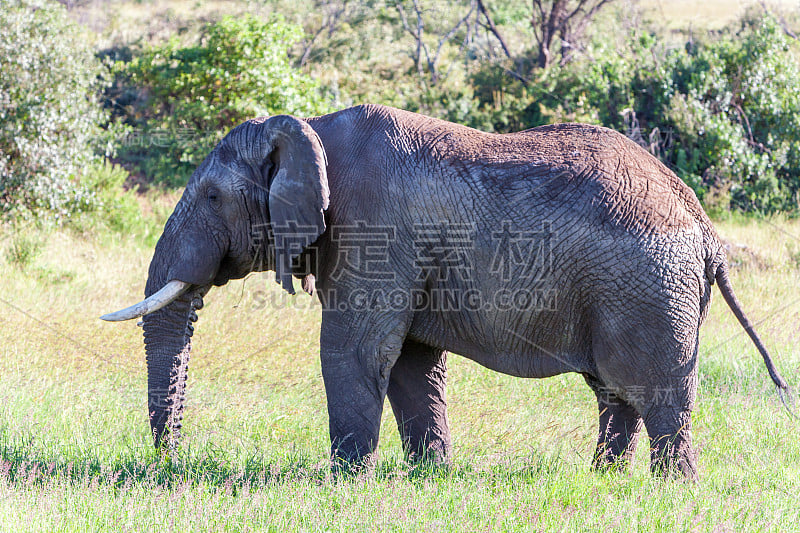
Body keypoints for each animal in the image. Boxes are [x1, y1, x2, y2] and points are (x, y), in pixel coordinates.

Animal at [103, 103, 792, 478]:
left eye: (211, 197)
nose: (170, 462)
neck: (308, 128)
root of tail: (706, 230)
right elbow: (409, 360)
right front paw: (428, 475)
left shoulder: (374, 230)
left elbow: (354, 349)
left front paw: (340, 484)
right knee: (616, 393)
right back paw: (607, 484)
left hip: (647, 291)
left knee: (656, 394)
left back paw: (670, 490)